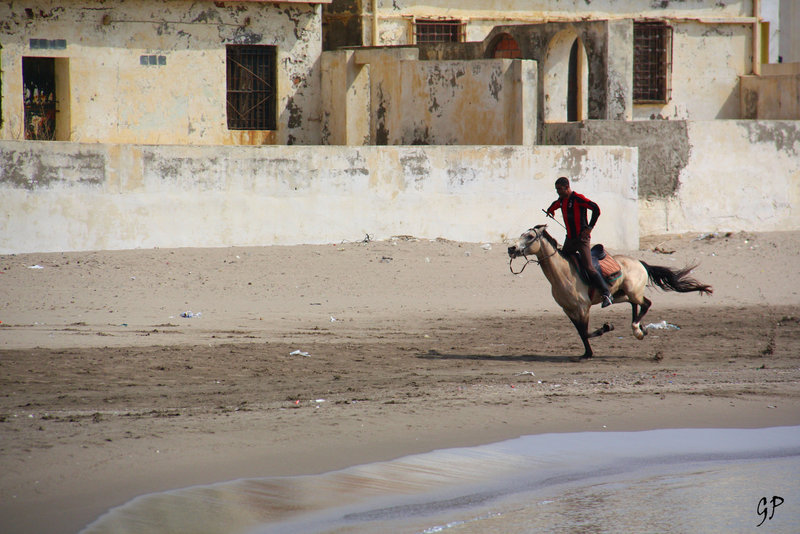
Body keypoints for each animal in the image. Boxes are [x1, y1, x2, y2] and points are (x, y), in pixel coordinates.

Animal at [506, 226, 712, 360]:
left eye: (529, 236)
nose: (511, 248)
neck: (564, 274)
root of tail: (640, 262)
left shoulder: (583, 308)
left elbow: (586, 332)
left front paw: (607, 327)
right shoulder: (569, 310)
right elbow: (581, 333)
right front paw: (587, 353)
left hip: (632, 292)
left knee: (646, 304)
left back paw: (637, 329)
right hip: (621, 294)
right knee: (636, 304)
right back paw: (642, 329)